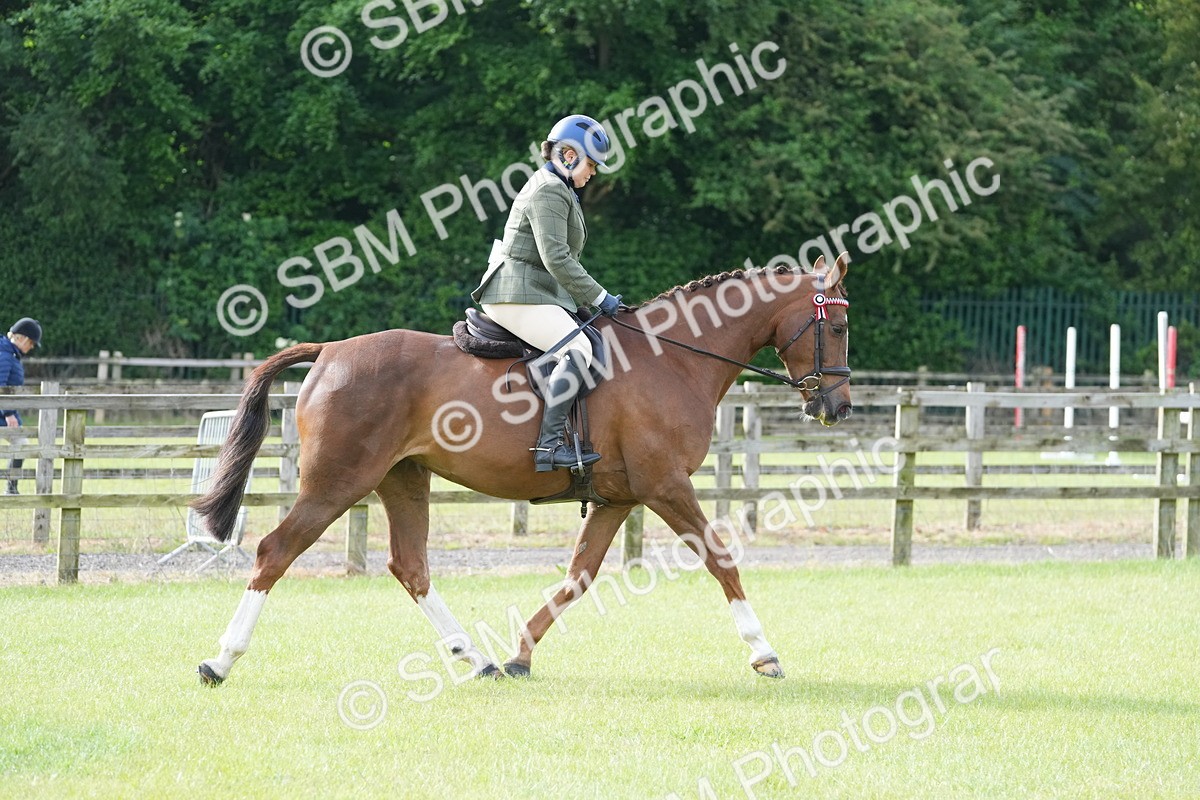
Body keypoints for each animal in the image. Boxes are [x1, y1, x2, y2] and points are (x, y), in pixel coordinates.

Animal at [193, 253, 852, 685]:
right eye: (839, 326)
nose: (836, 406)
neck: (673, 359)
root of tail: (330, 350)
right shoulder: (666, 486)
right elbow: (721, 559)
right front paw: (763, 653)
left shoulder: (619, 498)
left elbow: (578, 578)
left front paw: (519, 655)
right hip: (337, 482)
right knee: (276, 552)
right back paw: (220, 660)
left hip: (403, 478)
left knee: (410, 566)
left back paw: (476, 658)